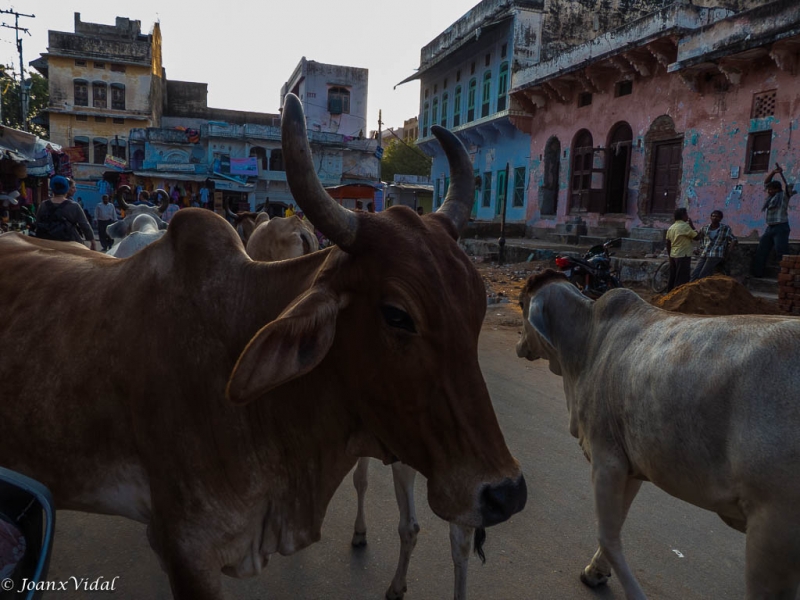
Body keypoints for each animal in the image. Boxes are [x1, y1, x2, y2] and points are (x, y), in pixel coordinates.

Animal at [516, 272, 800, 600]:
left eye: (521, 304)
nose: (519, 344)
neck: (588, 342)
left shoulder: (606, 459)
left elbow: (608, 535)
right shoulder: (633, 465)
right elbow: (616, 525)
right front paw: (595, 571)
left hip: (774, 530)